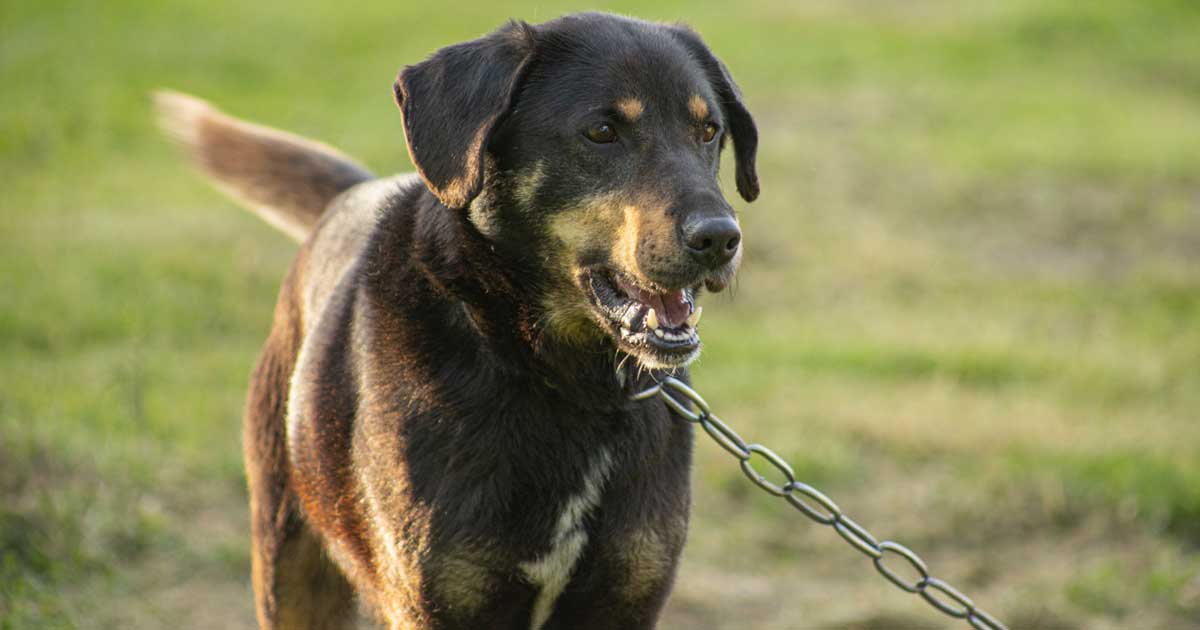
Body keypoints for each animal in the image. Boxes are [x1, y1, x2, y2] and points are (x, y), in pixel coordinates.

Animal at [157, 11, 758, 628]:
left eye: (708, 131)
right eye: (601, 132)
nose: (720, 238)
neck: (563, 384)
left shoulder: (626, 596)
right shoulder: (433, 601)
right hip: (289, 561)